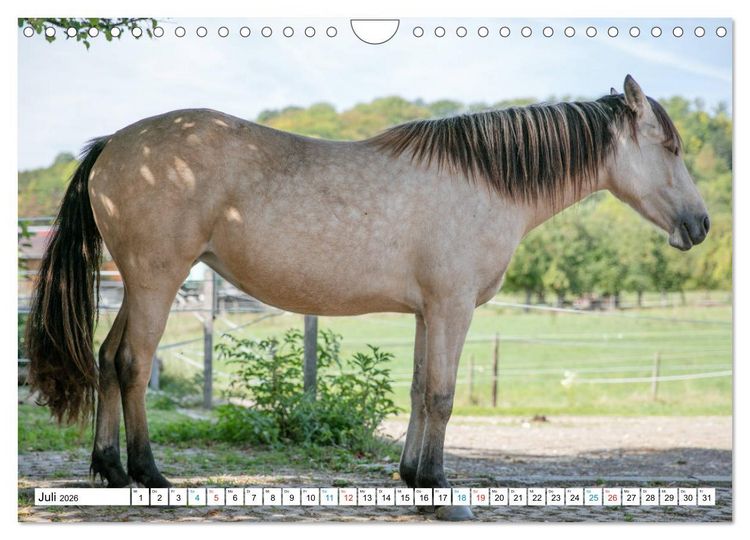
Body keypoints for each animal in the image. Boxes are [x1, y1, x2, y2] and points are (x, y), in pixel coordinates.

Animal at [25, 75, 709, 520]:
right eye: (671, 146)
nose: (700, 225)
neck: (486, 182)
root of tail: (114, 144)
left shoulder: (428, 313)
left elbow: (418, 391)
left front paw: (414, 482)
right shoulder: (453, 308)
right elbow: (442, 396)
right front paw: (440, 493)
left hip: (141, 287)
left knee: (106, 361)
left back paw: (110, 471)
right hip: (157, 281)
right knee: (131, 366)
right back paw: (147, 475)